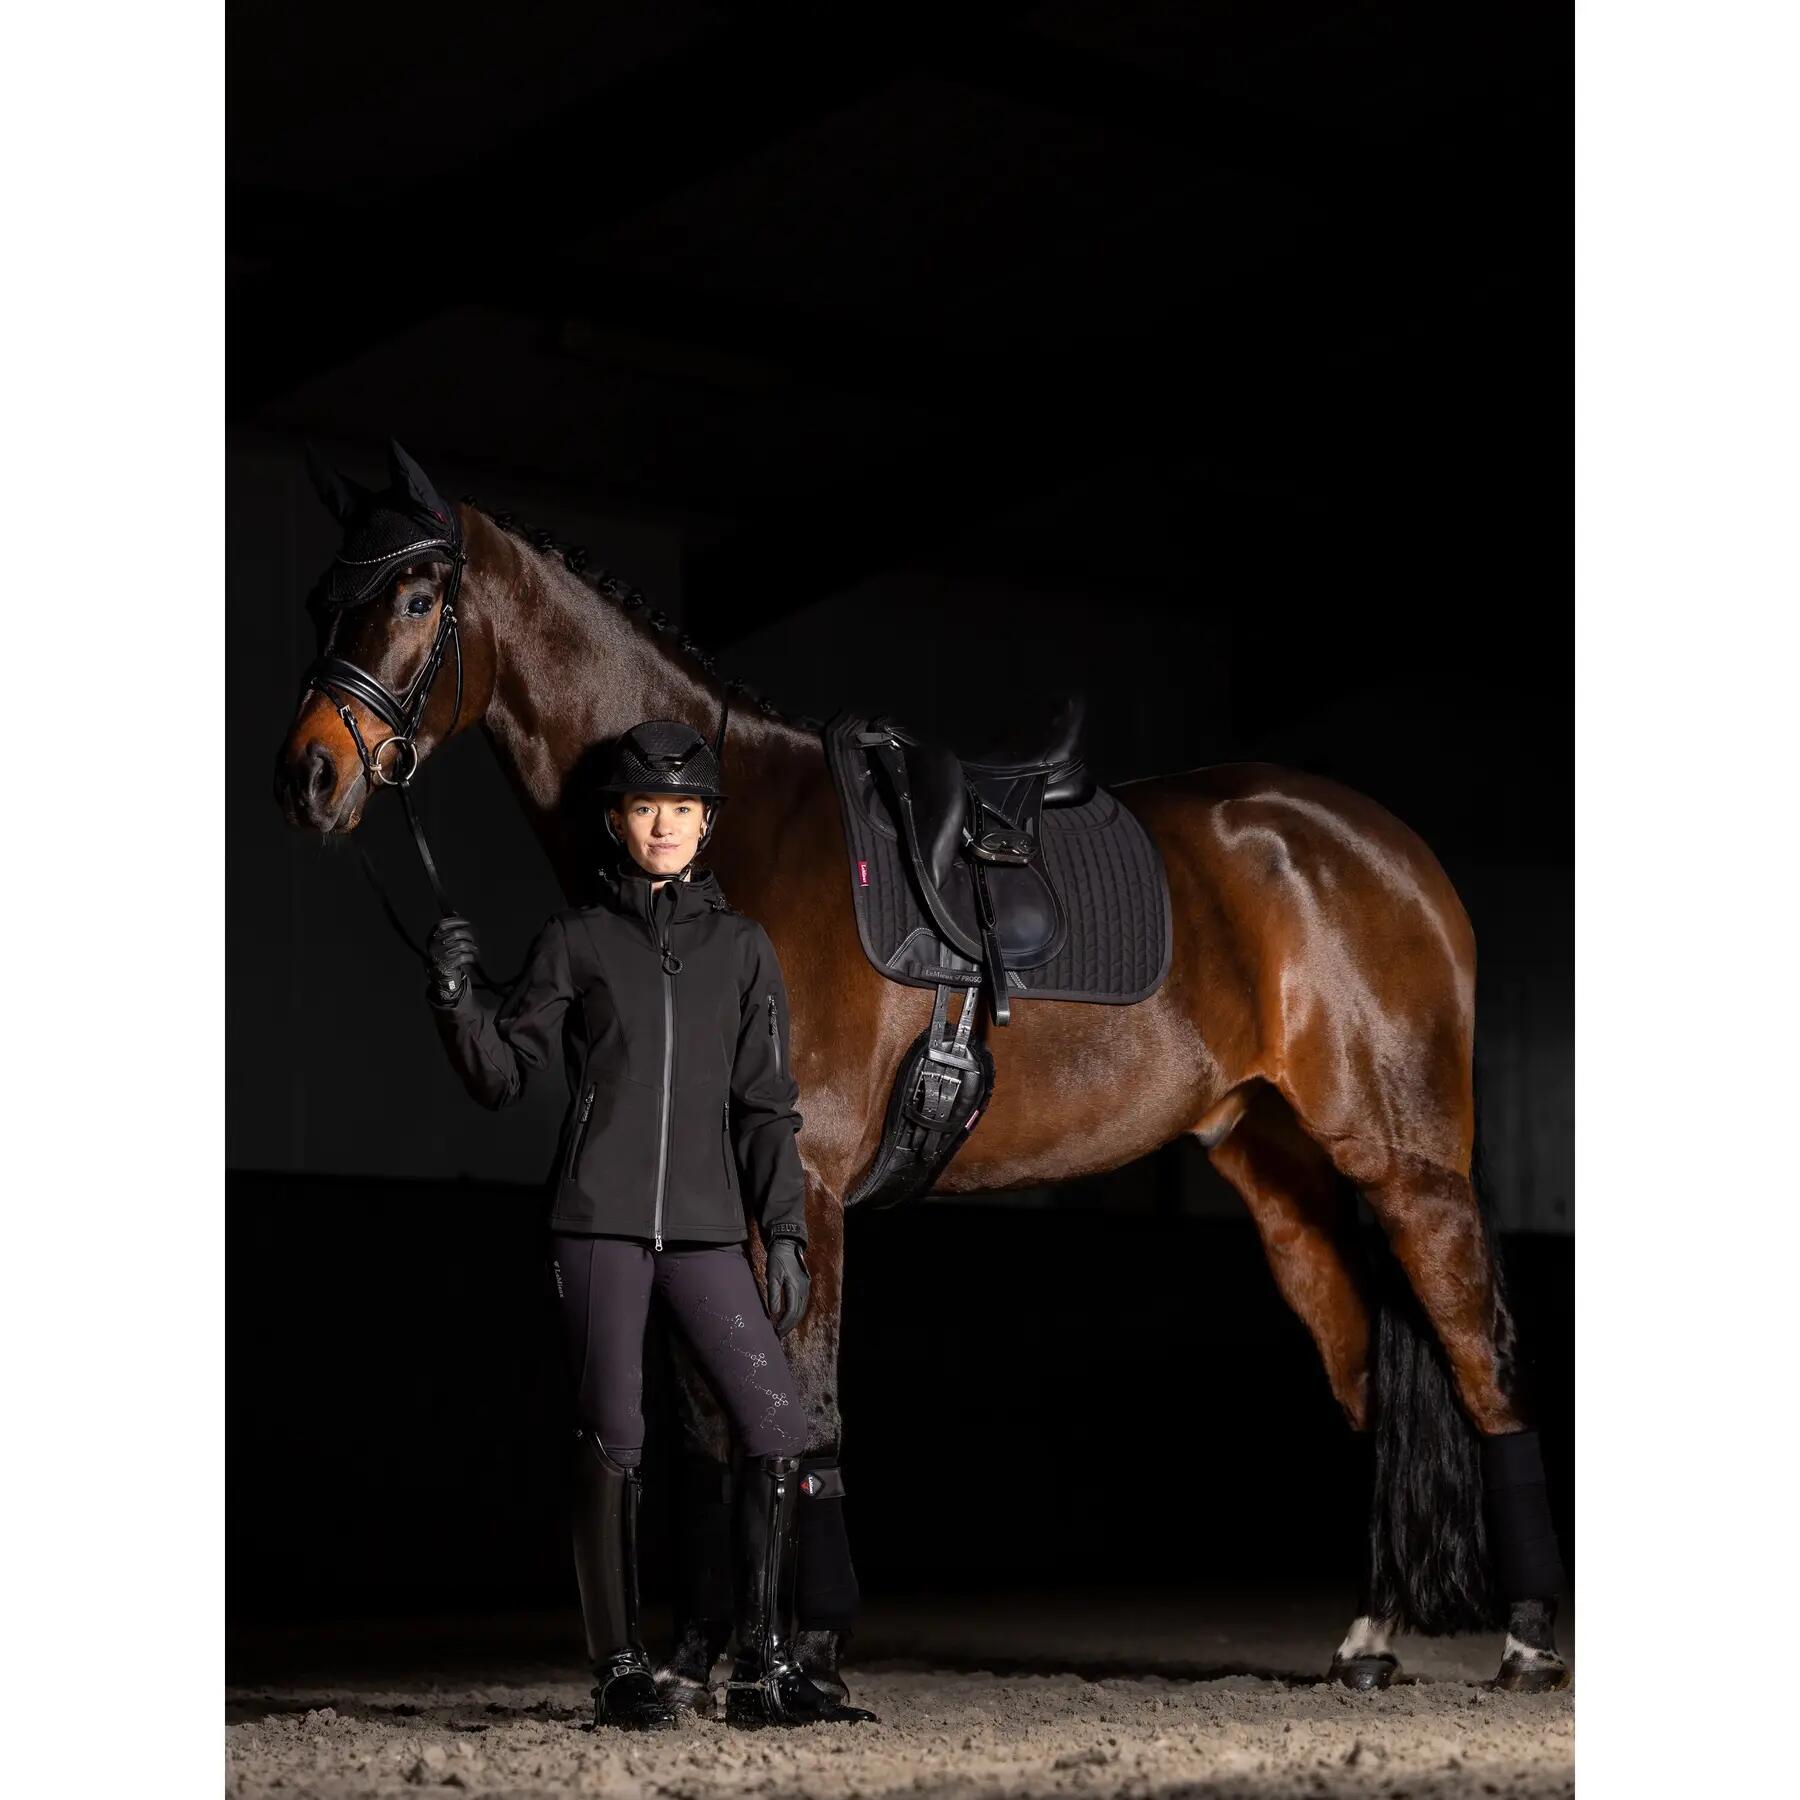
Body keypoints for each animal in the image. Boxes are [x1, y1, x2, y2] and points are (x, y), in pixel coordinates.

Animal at [273, 446, 1569, 1699]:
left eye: (418, 595)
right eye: (324, 596)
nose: (310, 780)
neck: (720, 850)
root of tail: (1383, 847)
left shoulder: (806, 1189)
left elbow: (801, 1418)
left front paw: (805, 1655)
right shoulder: (704, 1203)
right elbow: (707, 1425)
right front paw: (699, 1658)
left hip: (1407, 1168)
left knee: (1483, 1366)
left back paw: (1526, 1646)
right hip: (1288, 1188)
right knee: (1370, 1384)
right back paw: (1369, 1639)